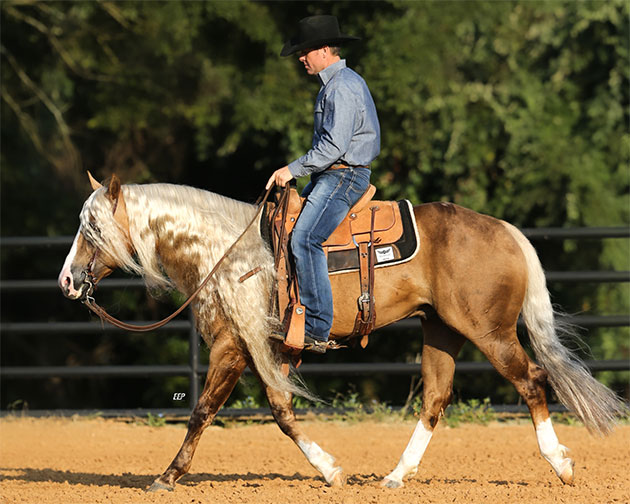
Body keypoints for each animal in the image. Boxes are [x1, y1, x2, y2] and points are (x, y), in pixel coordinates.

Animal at [58, 175, 628, 490]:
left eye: (91, 228)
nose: (67, 280)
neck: (223, 249)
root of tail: (505, 231)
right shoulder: (255, 348)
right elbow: (279, 412)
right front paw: (332, 471)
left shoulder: (234, 345)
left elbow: (209, 412)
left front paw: (167, 477)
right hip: (441, 330)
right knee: (436, 399)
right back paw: (396, 476)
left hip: (489, 331)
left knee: (531, 381)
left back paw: (561, 465)